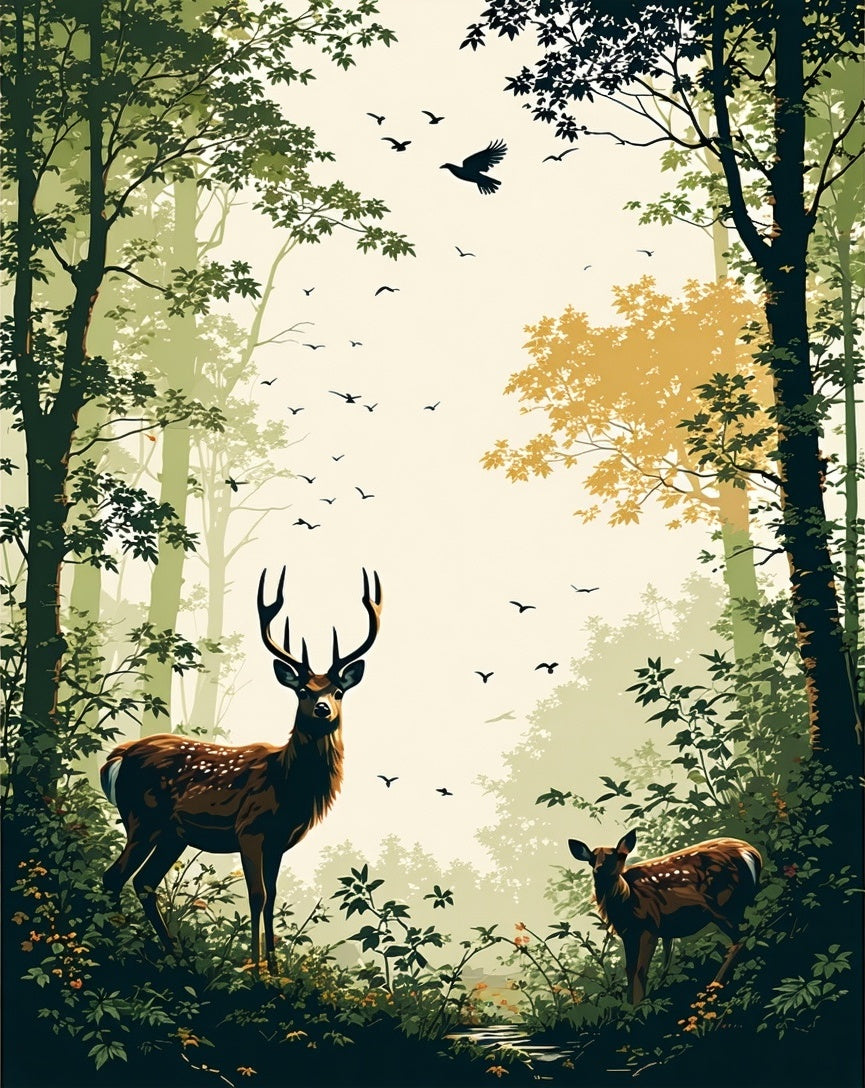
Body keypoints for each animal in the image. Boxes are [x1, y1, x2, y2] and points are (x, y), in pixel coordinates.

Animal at [99, 567, 382, 974]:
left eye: (338, 691)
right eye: (302, 691)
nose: (323, 709)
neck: (288, 785)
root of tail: (117, 757)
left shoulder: (279, 841)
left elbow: (273, 896)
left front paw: (277, 971)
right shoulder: (249, 828)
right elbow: (256, 895)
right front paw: (256, 970)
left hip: (172, 833)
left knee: (144, 882)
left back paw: (175, 956)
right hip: (142, 817)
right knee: (115, 876)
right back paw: (112, 950)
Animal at [568, 829, 762, 1004]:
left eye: (614, 856)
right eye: (592, 859)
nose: (598, 870)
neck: (626, 898)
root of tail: (752, 853)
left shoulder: (649, 926)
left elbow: (640, 970)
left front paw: (638, 1006)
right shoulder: (633, 933)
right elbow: (635, 969)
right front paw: (631, 1005)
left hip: (722, 904)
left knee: (740, 939)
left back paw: (712, 989)